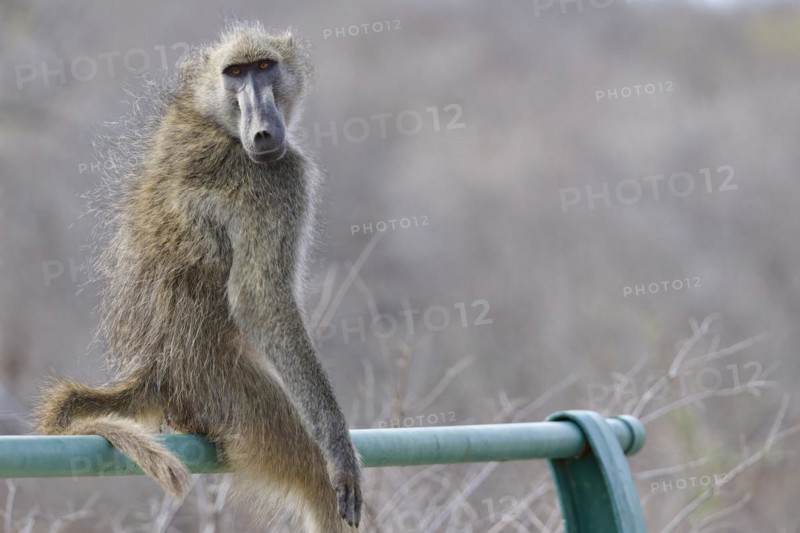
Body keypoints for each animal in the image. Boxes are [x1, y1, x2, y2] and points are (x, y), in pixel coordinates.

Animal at [35, 21, 362, 532]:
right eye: (236, 73)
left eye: (264, 66)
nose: (262, 130)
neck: (209, 114)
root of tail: (154, 372)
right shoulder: (276, 179)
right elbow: (258, 299)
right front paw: (339, 453)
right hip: (226, 393)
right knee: (312, 476)